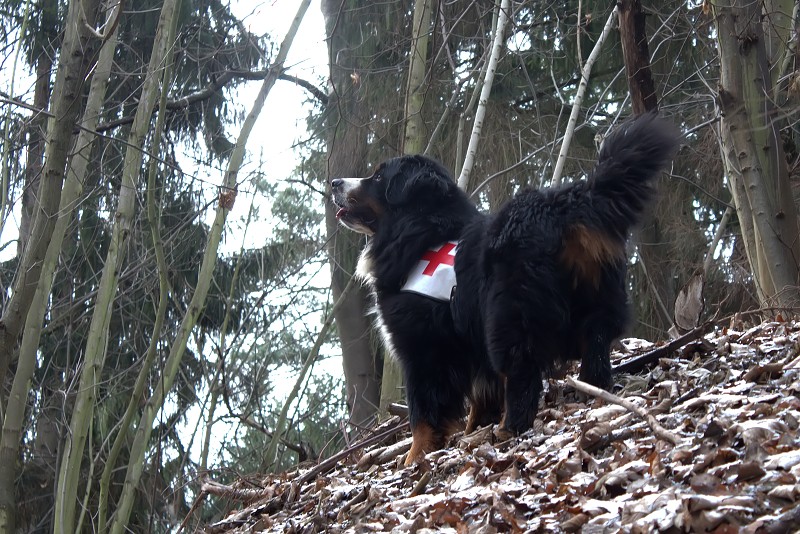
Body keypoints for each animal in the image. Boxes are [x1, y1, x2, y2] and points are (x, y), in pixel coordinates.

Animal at [328, 114, 680, 468]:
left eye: (377, 177)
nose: (334, 183)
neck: (419, 230)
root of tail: (560, 205)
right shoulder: (471, 339)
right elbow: (483, 393)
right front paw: (473, 430)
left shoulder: (423, 347)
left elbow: (424, 412)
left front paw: (416, 456)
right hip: (596, 307)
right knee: (595, 352)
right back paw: (594, 395)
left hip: (509, 318)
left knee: (522, 376)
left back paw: (510, 430)